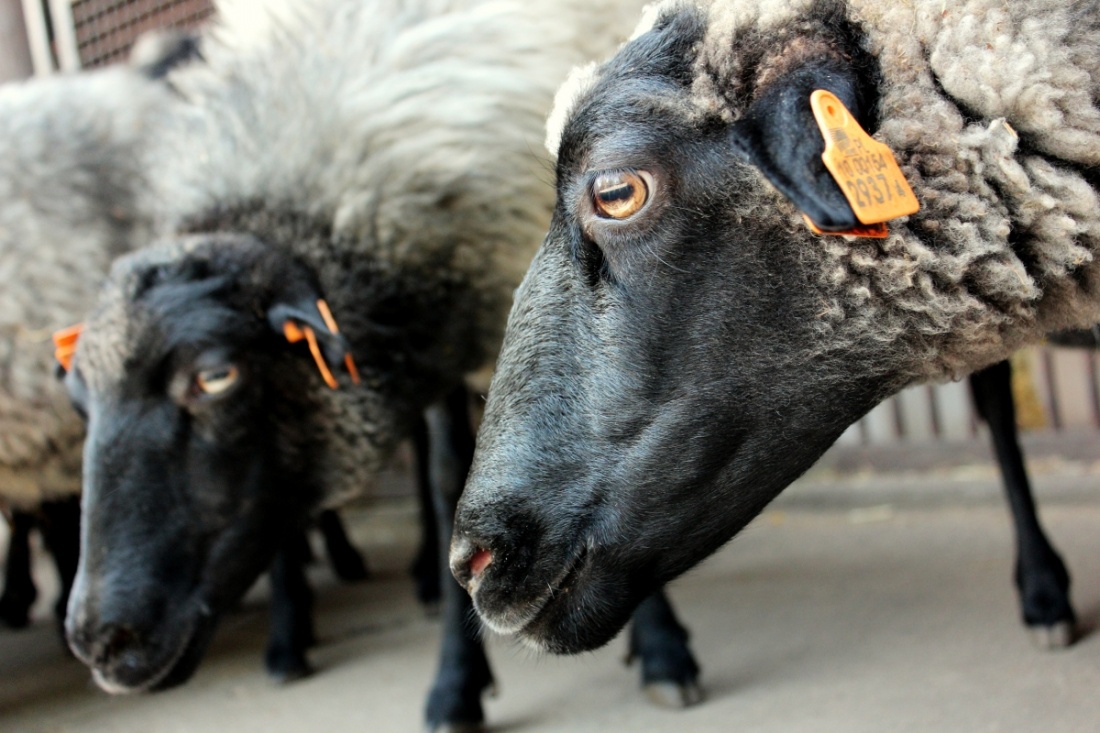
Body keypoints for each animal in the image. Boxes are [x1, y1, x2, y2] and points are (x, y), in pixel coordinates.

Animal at [58, 0, 702, 728]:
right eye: (78, 401)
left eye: (215, 376)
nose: (99, 642)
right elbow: (449, 481)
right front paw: (455, 682)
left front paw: (662, 650)